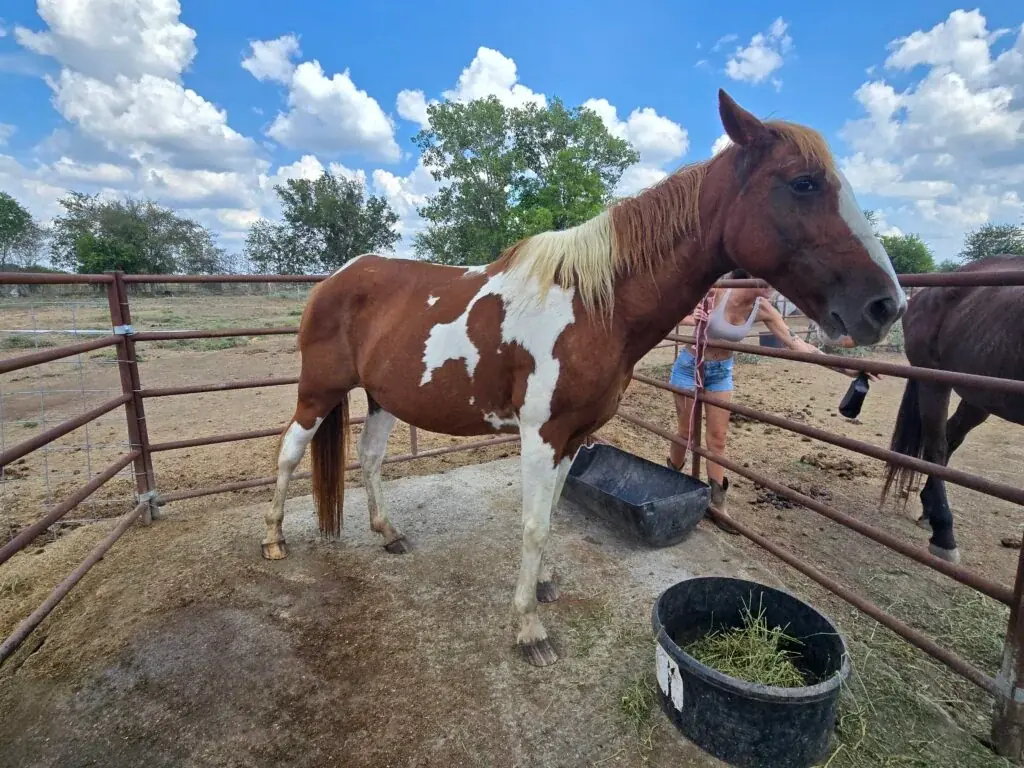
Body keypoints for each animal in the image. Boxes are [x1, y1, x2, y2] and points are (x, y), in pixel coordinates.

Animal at [262, 89, 906, 667]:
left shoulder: (572, 437)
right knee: (289, 453)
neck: (598, 306)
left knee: (369, 459)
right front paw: (528, 630)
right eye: (803, 183)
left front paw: (544, 585)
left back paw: (388, 533)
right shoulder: (540, 435)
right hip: (318, 392)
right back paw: (273, 540)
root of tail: (335, 278)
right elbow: (532, 523)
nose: (886, 306)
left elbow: (550, 516)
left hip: (384, 397)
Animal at [882, 254, 1024, 564]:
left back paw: (929, 512)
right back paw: (944, 534)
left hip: (981, 394)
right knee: (937, 445)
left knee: (949, 439)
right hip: (936, 382)